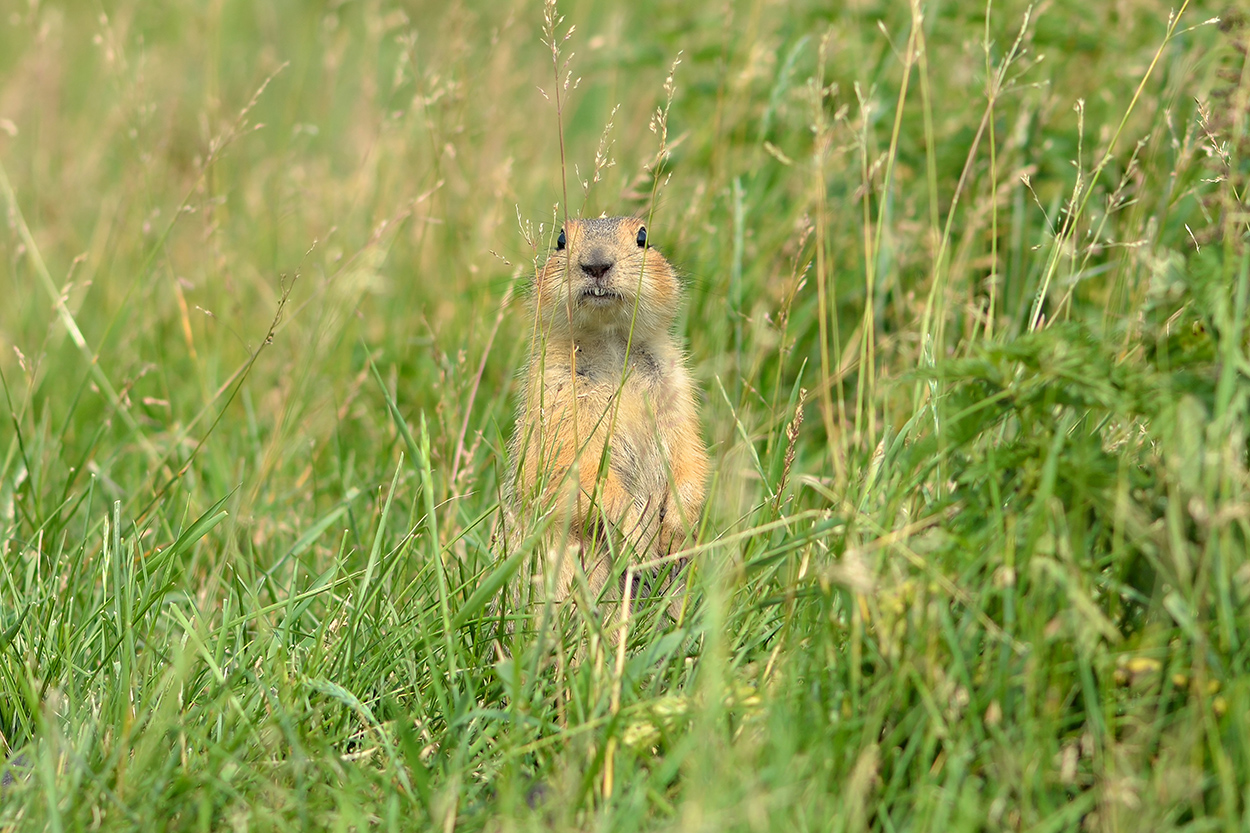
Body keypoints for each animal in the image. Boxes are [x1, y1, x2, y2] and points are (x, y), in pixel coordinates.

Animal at [504, 216, 708, 620]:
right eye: (561, 239)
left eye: (643, 236)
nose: (596, 264)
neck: (612, 346)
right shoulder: (554, 397)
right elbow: (570, 468)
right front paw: (638, 538)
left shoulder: (678, 390)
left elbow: (690, 455)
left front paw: (676, 532)